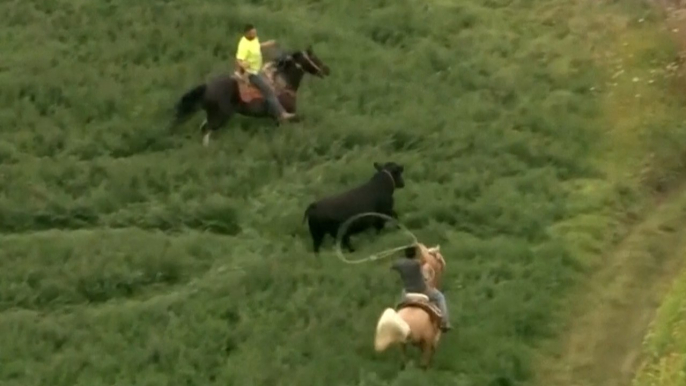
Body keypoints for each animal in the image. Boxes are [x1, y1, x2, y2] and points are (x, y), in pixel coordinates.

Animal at [172, 44, 334, 146]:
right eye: (314, 58)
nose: (327, 70)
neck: (283, 82)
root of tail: (207, 87)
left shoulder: (278, 119)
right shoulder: (287, 114)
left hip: (214, 114)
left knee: (204, 128)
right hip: (220, 116)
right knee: (206, 130)